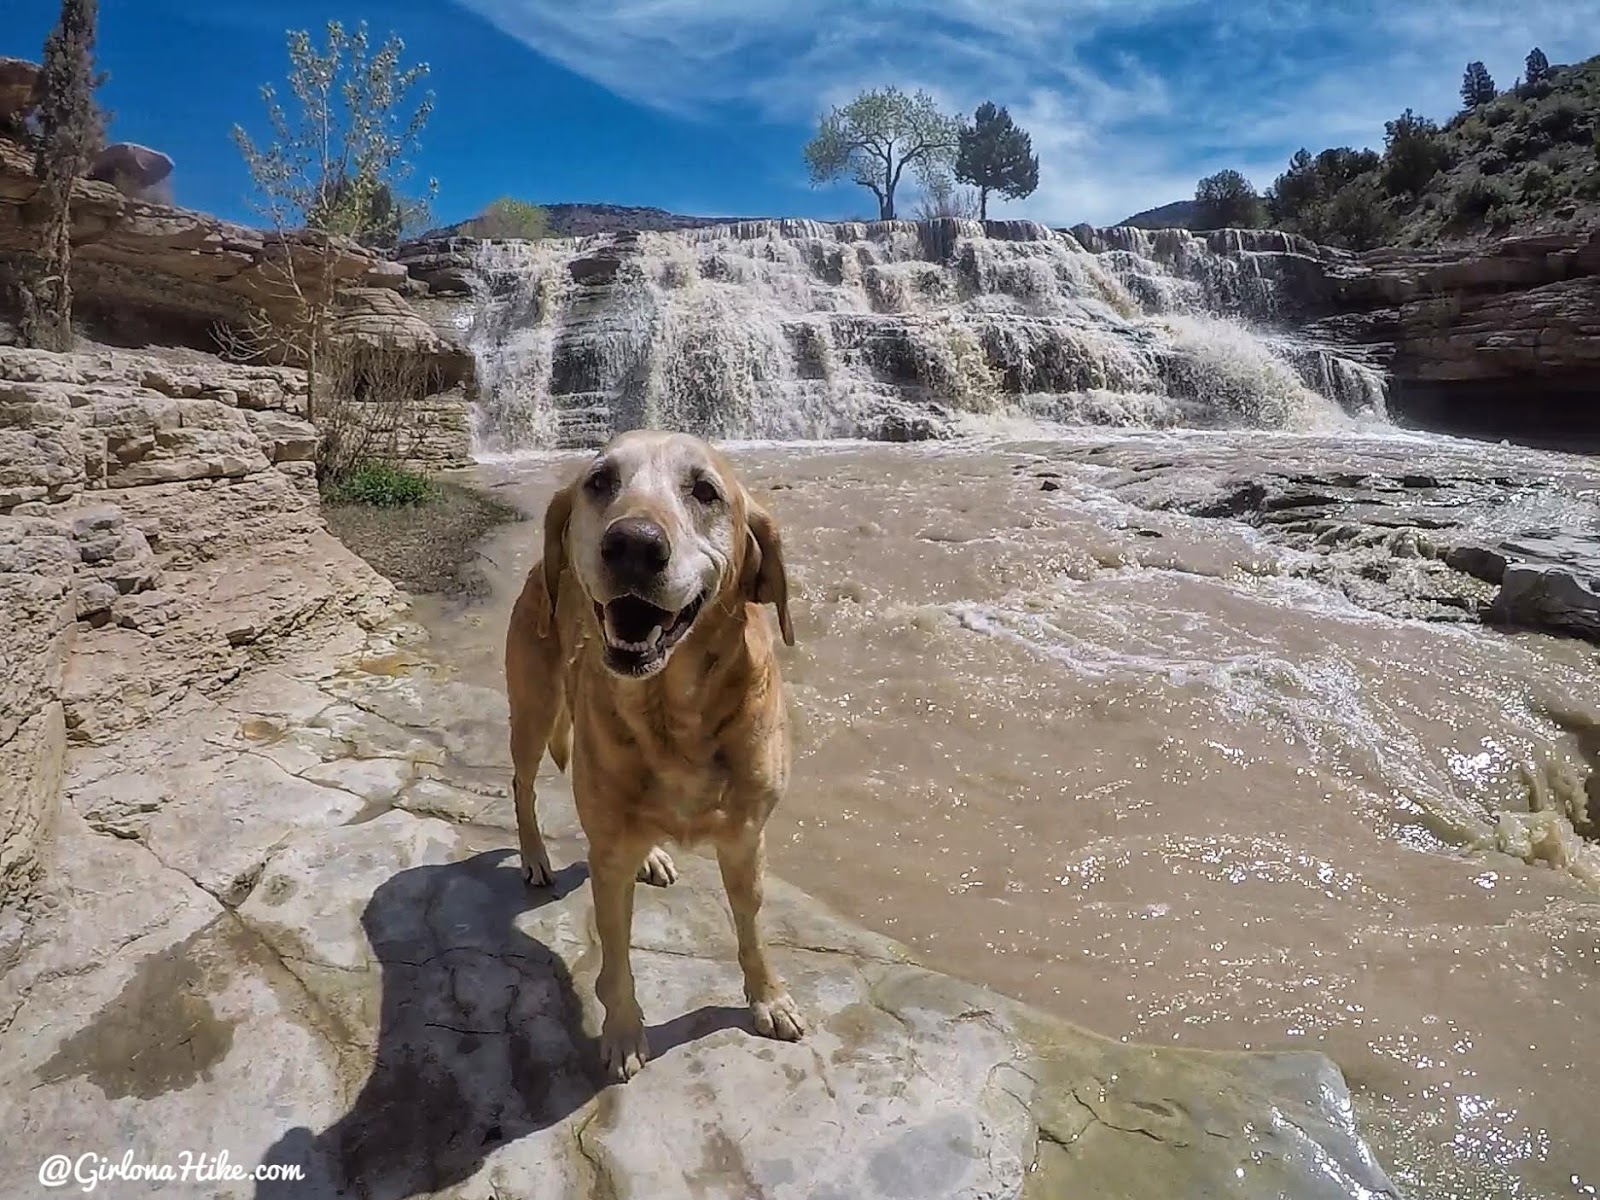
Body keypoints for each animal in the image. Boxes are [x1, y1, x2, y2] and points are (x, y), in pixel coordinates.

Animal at [505, 428, 806, 1081]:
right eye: (600, 481)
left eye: (705, 491)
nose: (634, 545)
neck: (676, 714)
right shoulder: (609, 858)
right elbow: (616, 959)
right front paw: (622, 1031)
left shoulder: (746, 840)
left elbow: (752, 928)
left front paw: (768, 997)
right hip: (534, 712)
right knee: (522, 785)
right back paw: (535, 856)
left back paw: (654, 856)